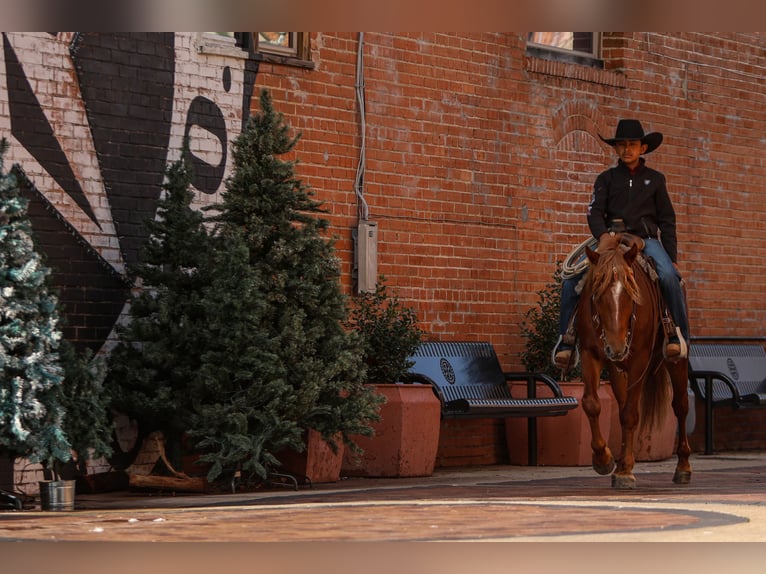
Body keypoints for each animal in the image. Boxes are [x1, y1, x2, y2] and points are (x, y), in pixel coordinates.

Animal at [580, 234, 692, 490]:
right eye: (597, 293)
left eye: (631, 293)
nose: (617, 347)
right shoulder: (590, 353)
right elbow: (592, 404)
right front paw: (604, 459)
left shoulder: (639, 358)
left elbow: (631, 413)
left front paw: (624, 472)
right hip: (617, 367)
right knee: (621, 405)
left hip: (676, 361)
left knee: (680, 406)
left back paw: (683, 467)